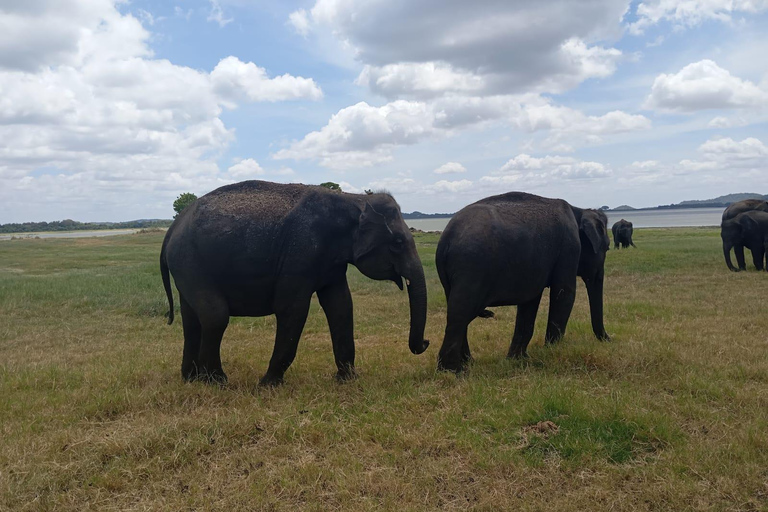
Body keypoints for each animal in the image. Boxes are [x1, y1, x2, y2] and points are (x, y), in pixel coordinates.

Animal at [159, 180, 428, 384]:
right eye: (398, 243)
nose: (425, 343)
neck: (353, 199)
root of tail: (172, 227)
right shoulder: (301, 252)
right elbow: (292, 309)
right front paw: (267, 384)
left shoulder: (331, 263)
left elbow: (341, 305)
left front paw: (347, 380)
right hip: (190, 262)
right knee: (215, 317)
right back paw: (216, 381)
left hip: (186, 267)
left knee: (192, 319)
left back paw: (191, 379)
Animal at [436, 190, 608, 370]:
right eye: (607, 248)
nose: (608, 339)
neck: (578, 210)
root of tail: (445, 240)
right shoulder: (569, 246)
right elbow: (564, 293)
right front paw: (552, 351)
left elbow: (530, 302)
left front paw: (517, 359)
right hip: (472, 266)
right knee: (460, 313)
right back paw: (454, 370)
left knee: (457, 309)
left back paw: (468, 363)